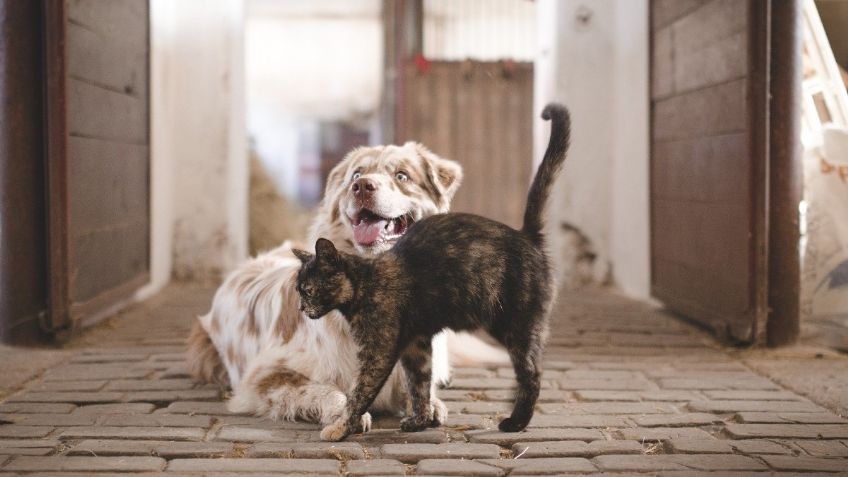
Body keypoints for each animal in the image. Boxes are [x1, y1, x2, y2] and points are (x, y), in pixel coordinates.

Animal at [186, 141, 504, 424]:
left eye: (402, 175)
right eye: (356, 174)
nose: (362, 186)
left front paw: (429, 404)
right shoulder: (264, 377)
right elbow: (325, 391)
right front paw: (344, 413)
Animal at [294, 102, 568, 440]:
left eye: (308, 290)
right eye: (298, 290)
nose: (301, 308)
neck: (365, 282)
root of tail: (526, 235)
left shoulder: (378, 352)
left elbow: (359, 393)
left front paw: (341, 427)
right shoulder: (417, 344)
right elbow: (419, 384)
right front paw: (420, 420)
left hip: (516, 325)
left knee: (532, 373)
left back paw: (515, 421)